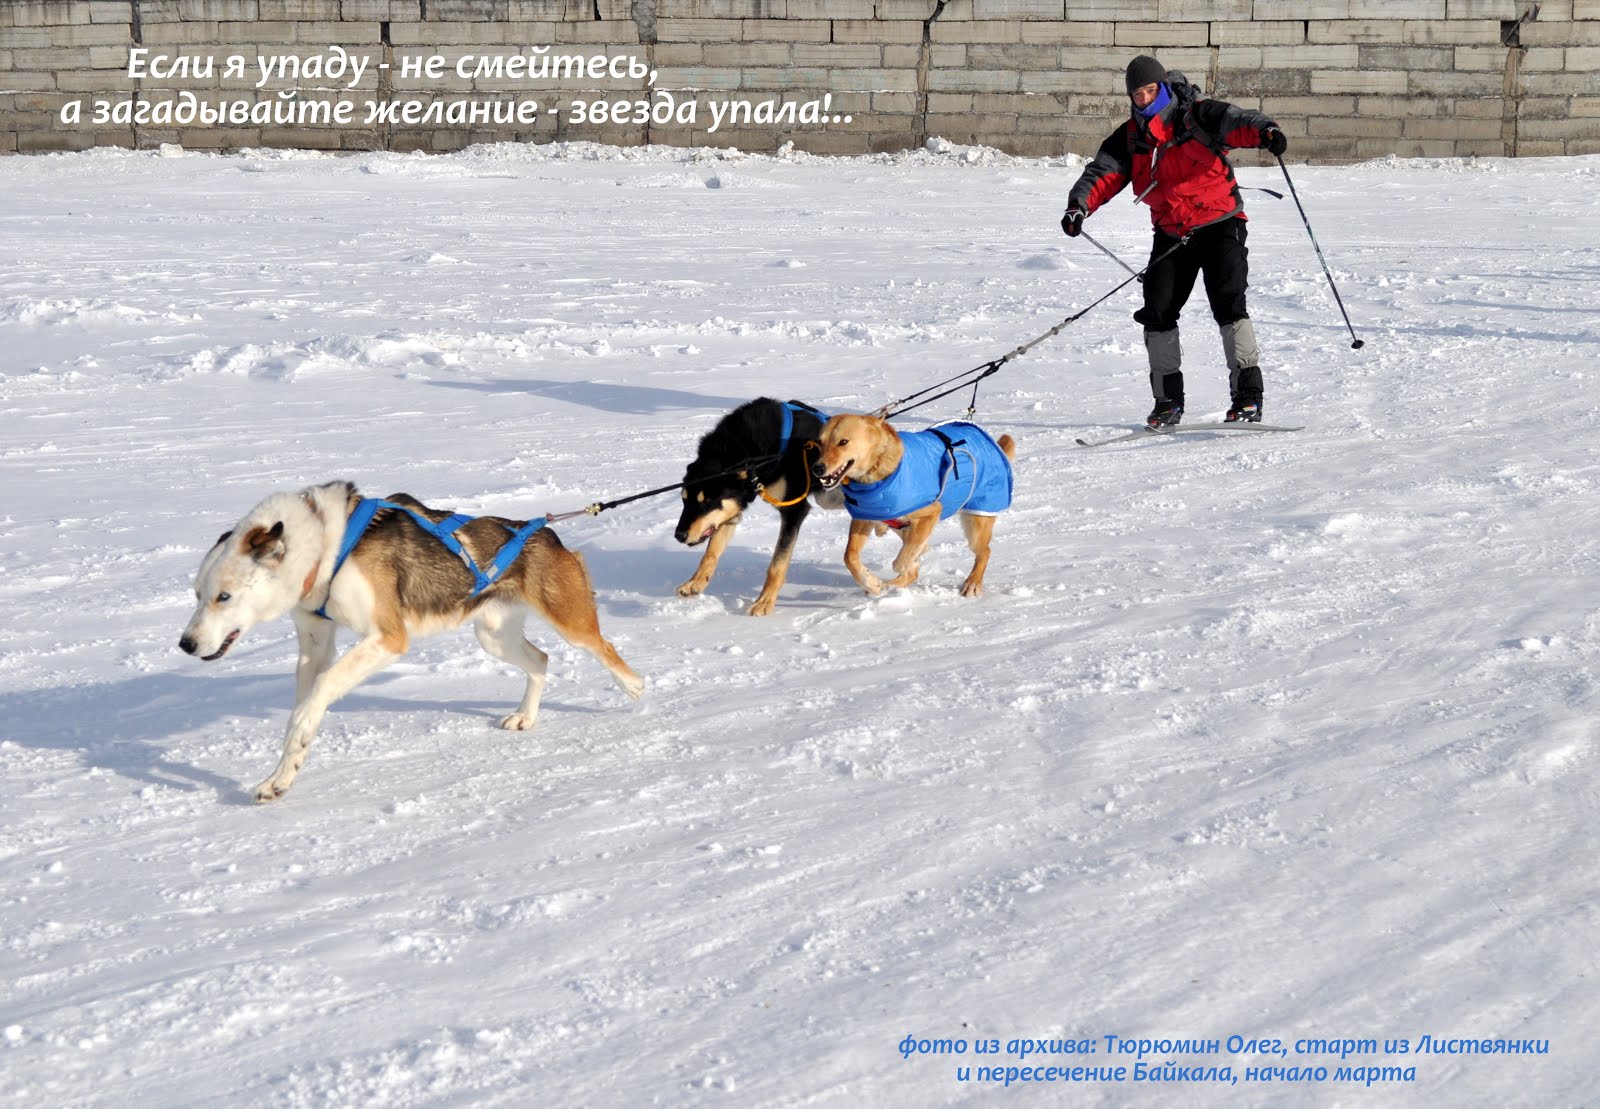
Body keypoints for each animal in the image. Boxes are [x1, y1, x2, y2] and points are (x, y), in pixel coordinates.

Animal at [181, 480, 643, 800]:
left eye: (224, 596)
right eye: (198, 593)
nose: (185, 644)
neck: (324, 545)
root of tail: (544, 531)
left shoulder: (387, 639)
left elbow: (319, 693)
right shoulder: (315, 645)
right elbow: (301, 715)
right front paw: (281, 775)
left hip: (571, 624)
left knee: (604, 649)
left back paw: (634, 687)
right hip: (493, 636)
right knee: (542, 660)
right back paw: (526, 716)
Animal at [675, 395, 851, 614]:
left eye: (707, 502)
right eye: (684, 499)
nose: (679, 535)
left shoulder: (794, 510)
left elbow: (777, 564)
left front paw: (765, 601)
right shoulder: (732, 511)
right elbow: (710, 553)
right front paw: (696, 582)